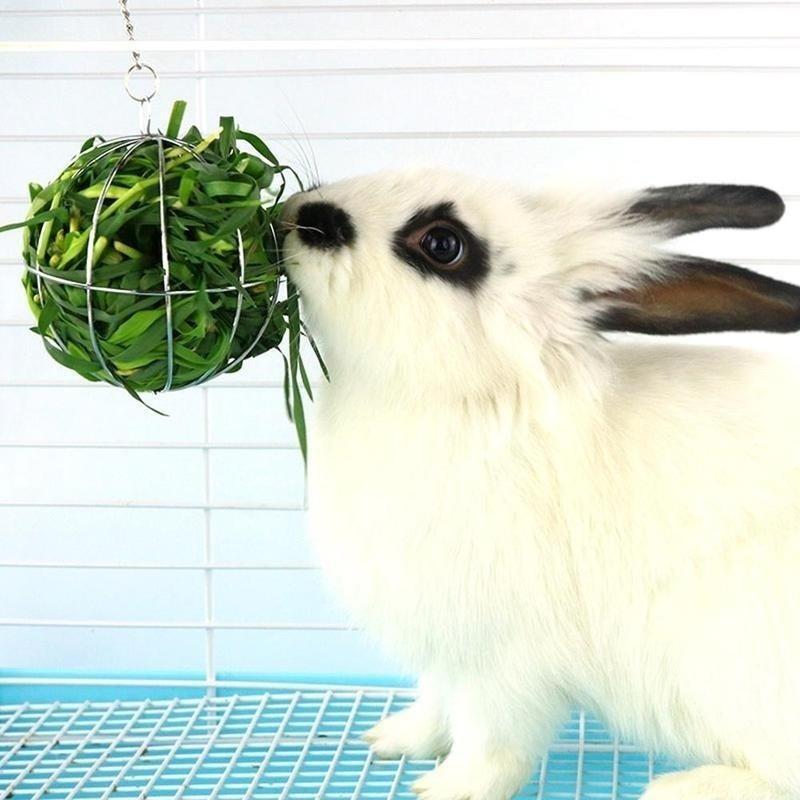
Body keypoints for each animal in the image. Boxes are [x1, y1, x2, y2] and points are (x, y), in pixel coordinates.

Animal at [280, 169, 800, 800]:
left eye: (443, 244)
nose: (301, 214)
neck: (476, 399)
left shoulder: (504, 663)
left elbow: (490, 743)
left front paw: (447, 788)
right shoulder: (446, 646)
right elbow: (435, 701)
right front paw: (395, 740)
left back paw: (684, 787)